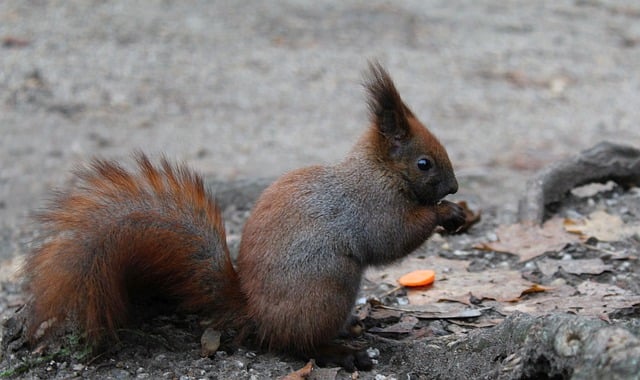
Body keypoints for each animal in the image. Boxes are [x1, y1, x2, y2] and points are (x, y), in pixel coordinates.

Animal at [22, 62, 464, 372]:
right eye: (424, 163)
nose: (455, 188)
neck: (380, 170)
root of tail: (255, 313)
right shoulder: (371, 205)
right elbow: (391, 238)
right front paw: (446, 213)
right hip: (327, 290)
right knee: (298, 344)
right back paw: (342, 352)